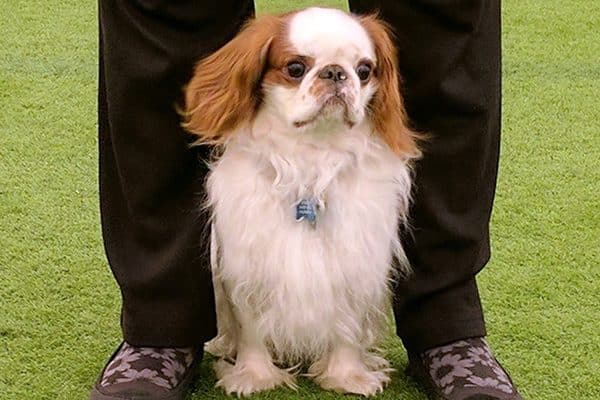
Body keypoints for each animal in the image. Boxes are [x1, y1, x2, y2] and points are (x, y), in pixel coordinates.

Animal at [183, 6, 422, 396]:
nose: (335, 73)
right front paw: (255, 376)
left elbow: (347, 327)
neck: (312, 159)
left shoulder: (354, 263)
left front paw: (347, 376)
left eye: (364, 70)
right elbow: (251, 329)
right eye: (295, 68)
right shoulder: (248, 266)